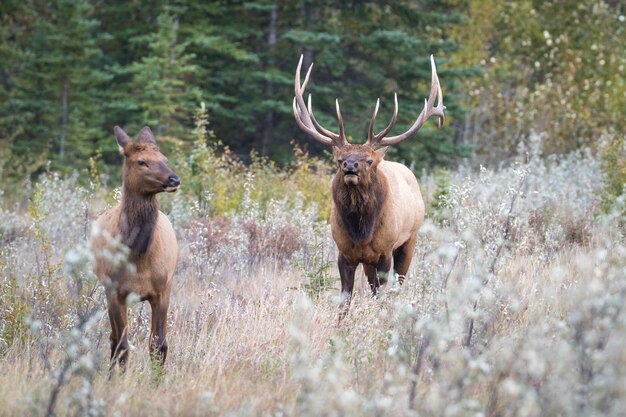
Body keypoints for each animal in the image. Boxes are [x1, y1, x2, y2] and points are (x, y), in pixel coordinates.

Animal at [92, 125, 180, 368]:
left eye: (165, 158)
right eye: (142, 161)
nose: (174, 179)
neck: (138, 257)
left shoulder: (162, 290)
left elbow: (159, 345)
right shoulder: (115, 291)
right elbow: (122, 345)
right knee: (113, 340)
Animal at [292, 53, 444, 316]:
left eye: (369, 160)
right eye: (339, 159)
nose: (350, 166)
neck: (361, 230)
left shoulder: (385, 251)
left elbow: (382, 296)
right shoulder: (345, 253)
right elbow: (345, 300)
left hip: (409, 240)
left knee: (397, 286)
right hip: (370, 262)